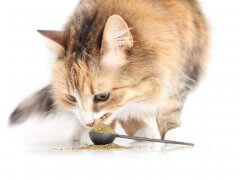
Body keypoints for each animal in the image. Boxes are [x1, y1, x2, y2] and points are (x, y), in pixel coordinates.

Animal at [9, 0, 208, 144]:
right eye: (72, 98)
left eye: (103, 96)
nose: (88, 123)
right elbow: (118, 114)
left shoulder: (183, 70)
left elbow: (170, 105)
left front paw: (171, 134)